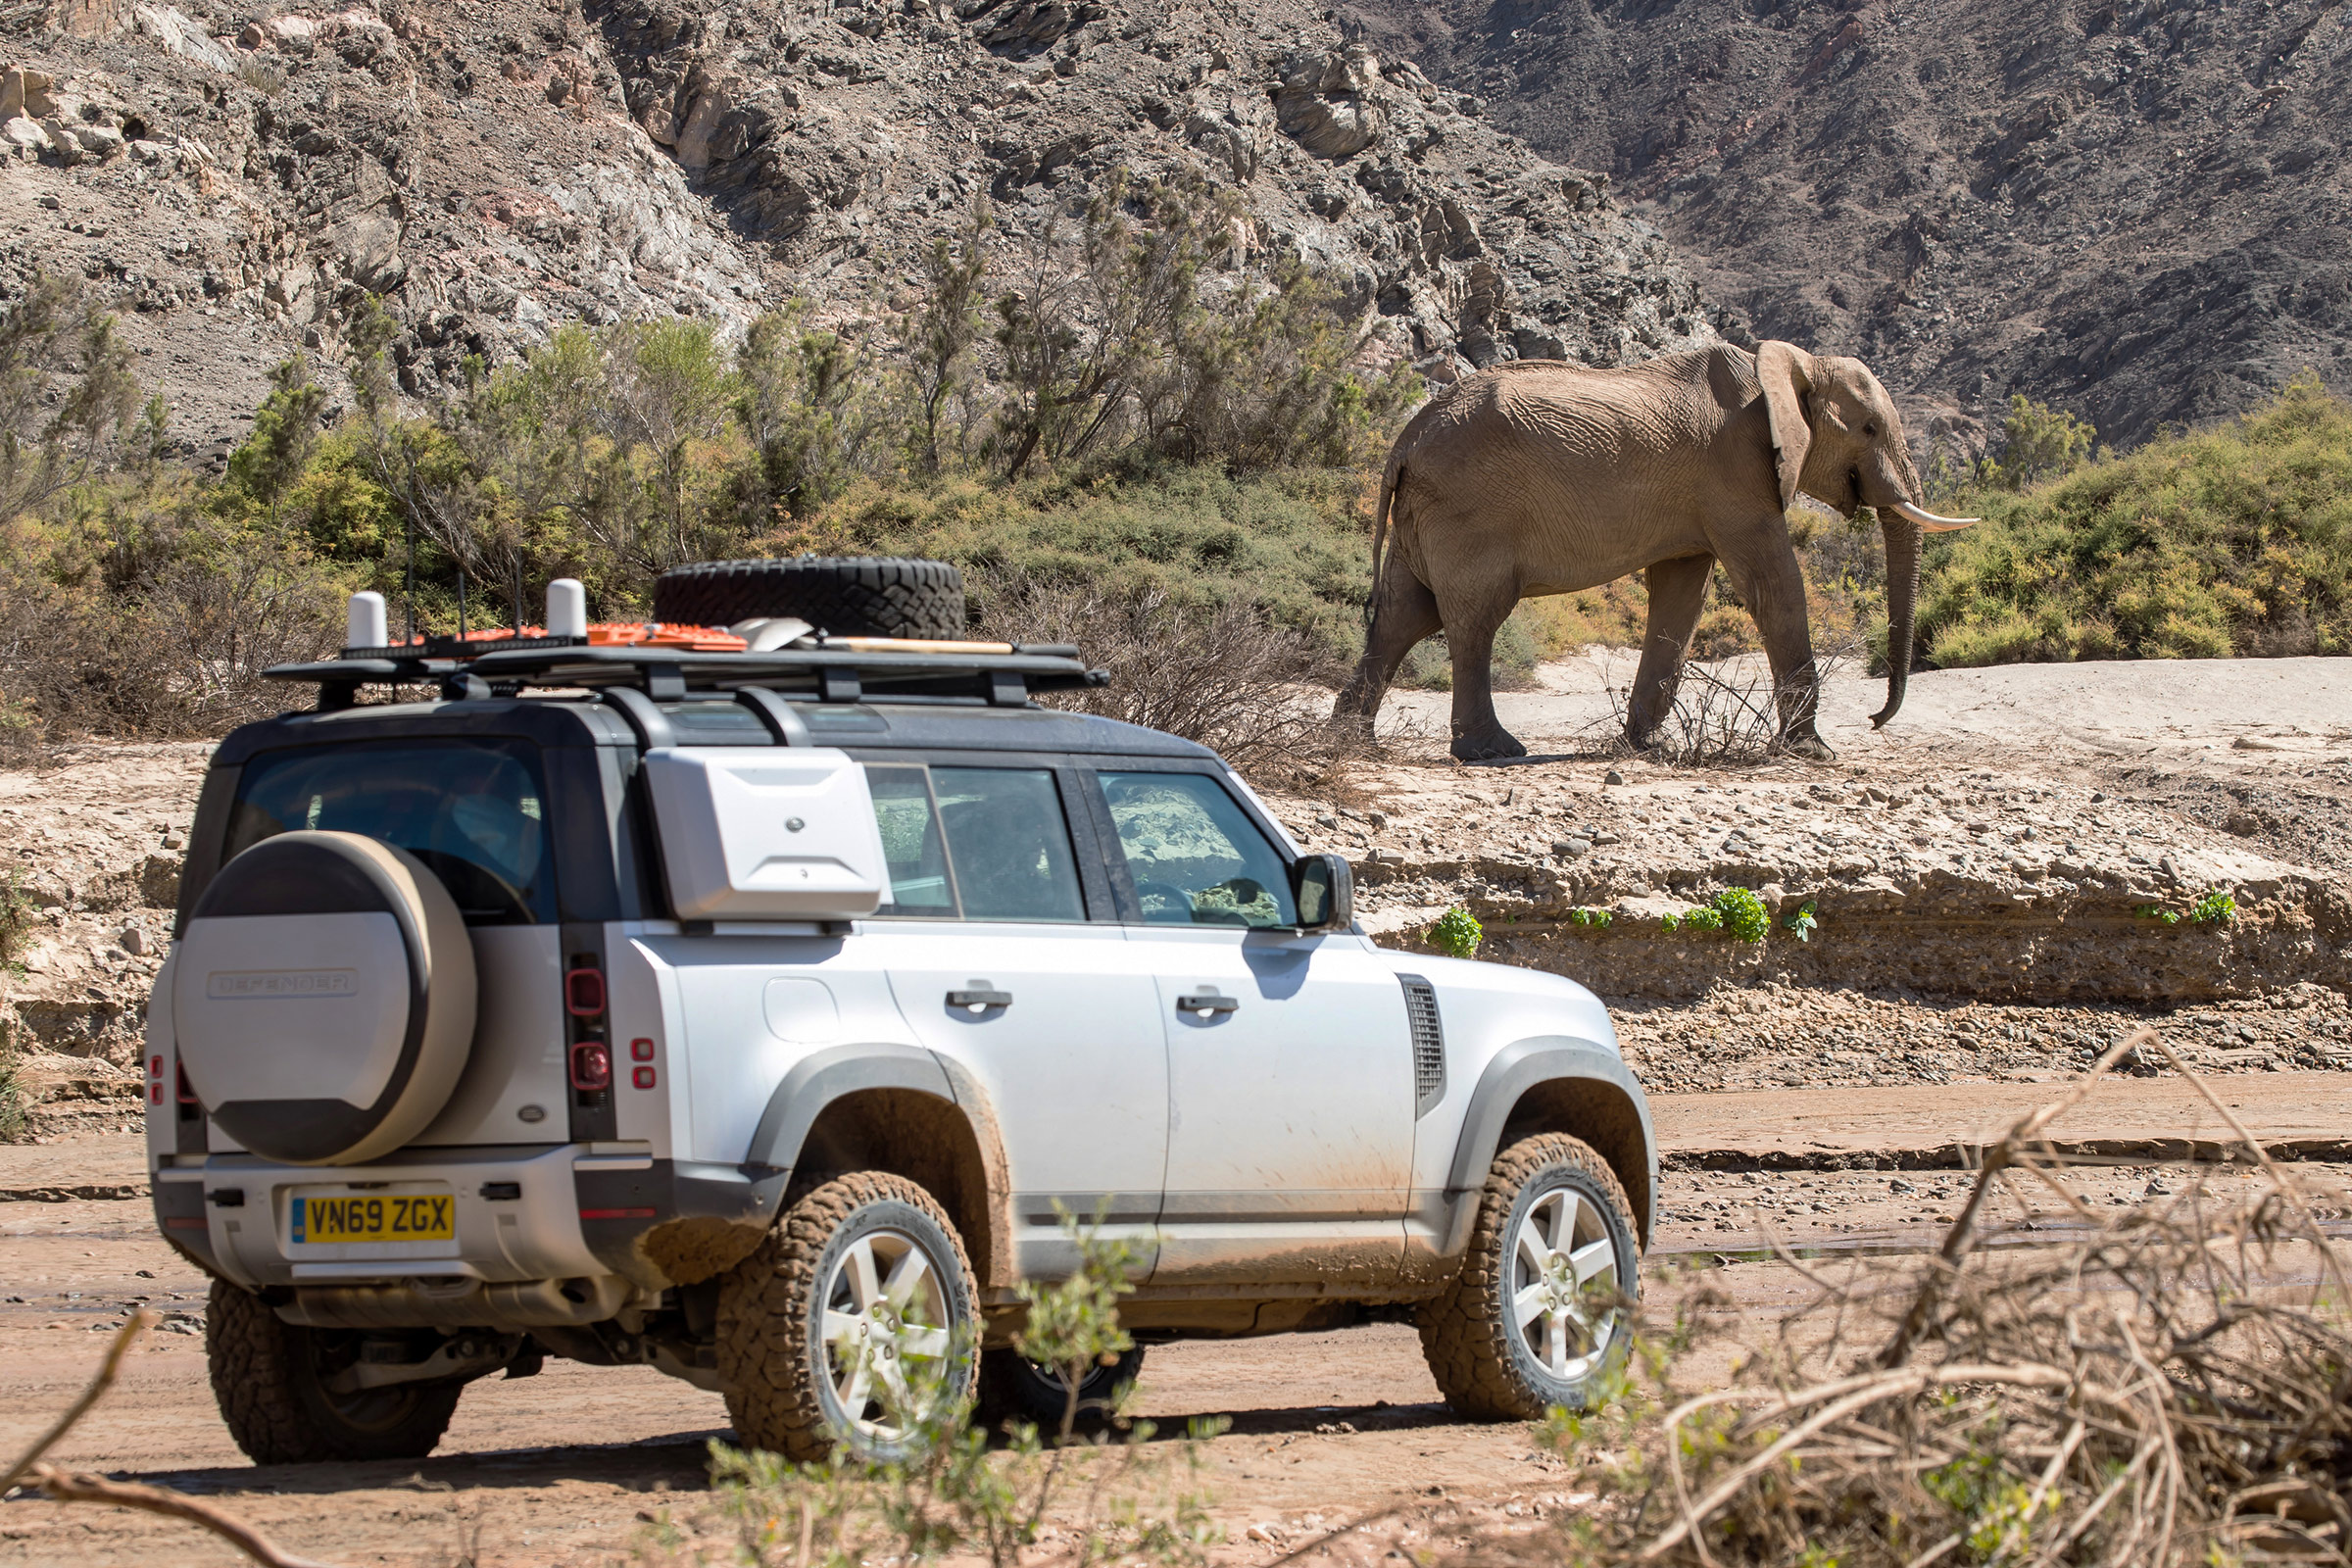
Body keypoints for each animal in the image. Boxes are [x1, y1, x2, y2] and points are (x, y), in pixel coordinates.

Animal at [1332, 342, 1977, 762]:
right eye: (1869, 429)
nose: (1874, 720)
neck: (1789, 368)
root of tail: (1404, 440)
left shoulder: (1704, 497)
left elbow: (1680, 598)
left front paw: (1645, 746)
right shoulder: (1735, 475)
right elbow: (1773, 587)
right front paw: (1815, 753)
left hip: (1426, 512)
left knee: (1404, 613)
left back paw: (1352, 740)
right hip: (1469, 510)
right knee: (1473, 619)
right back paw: (1492, 751)